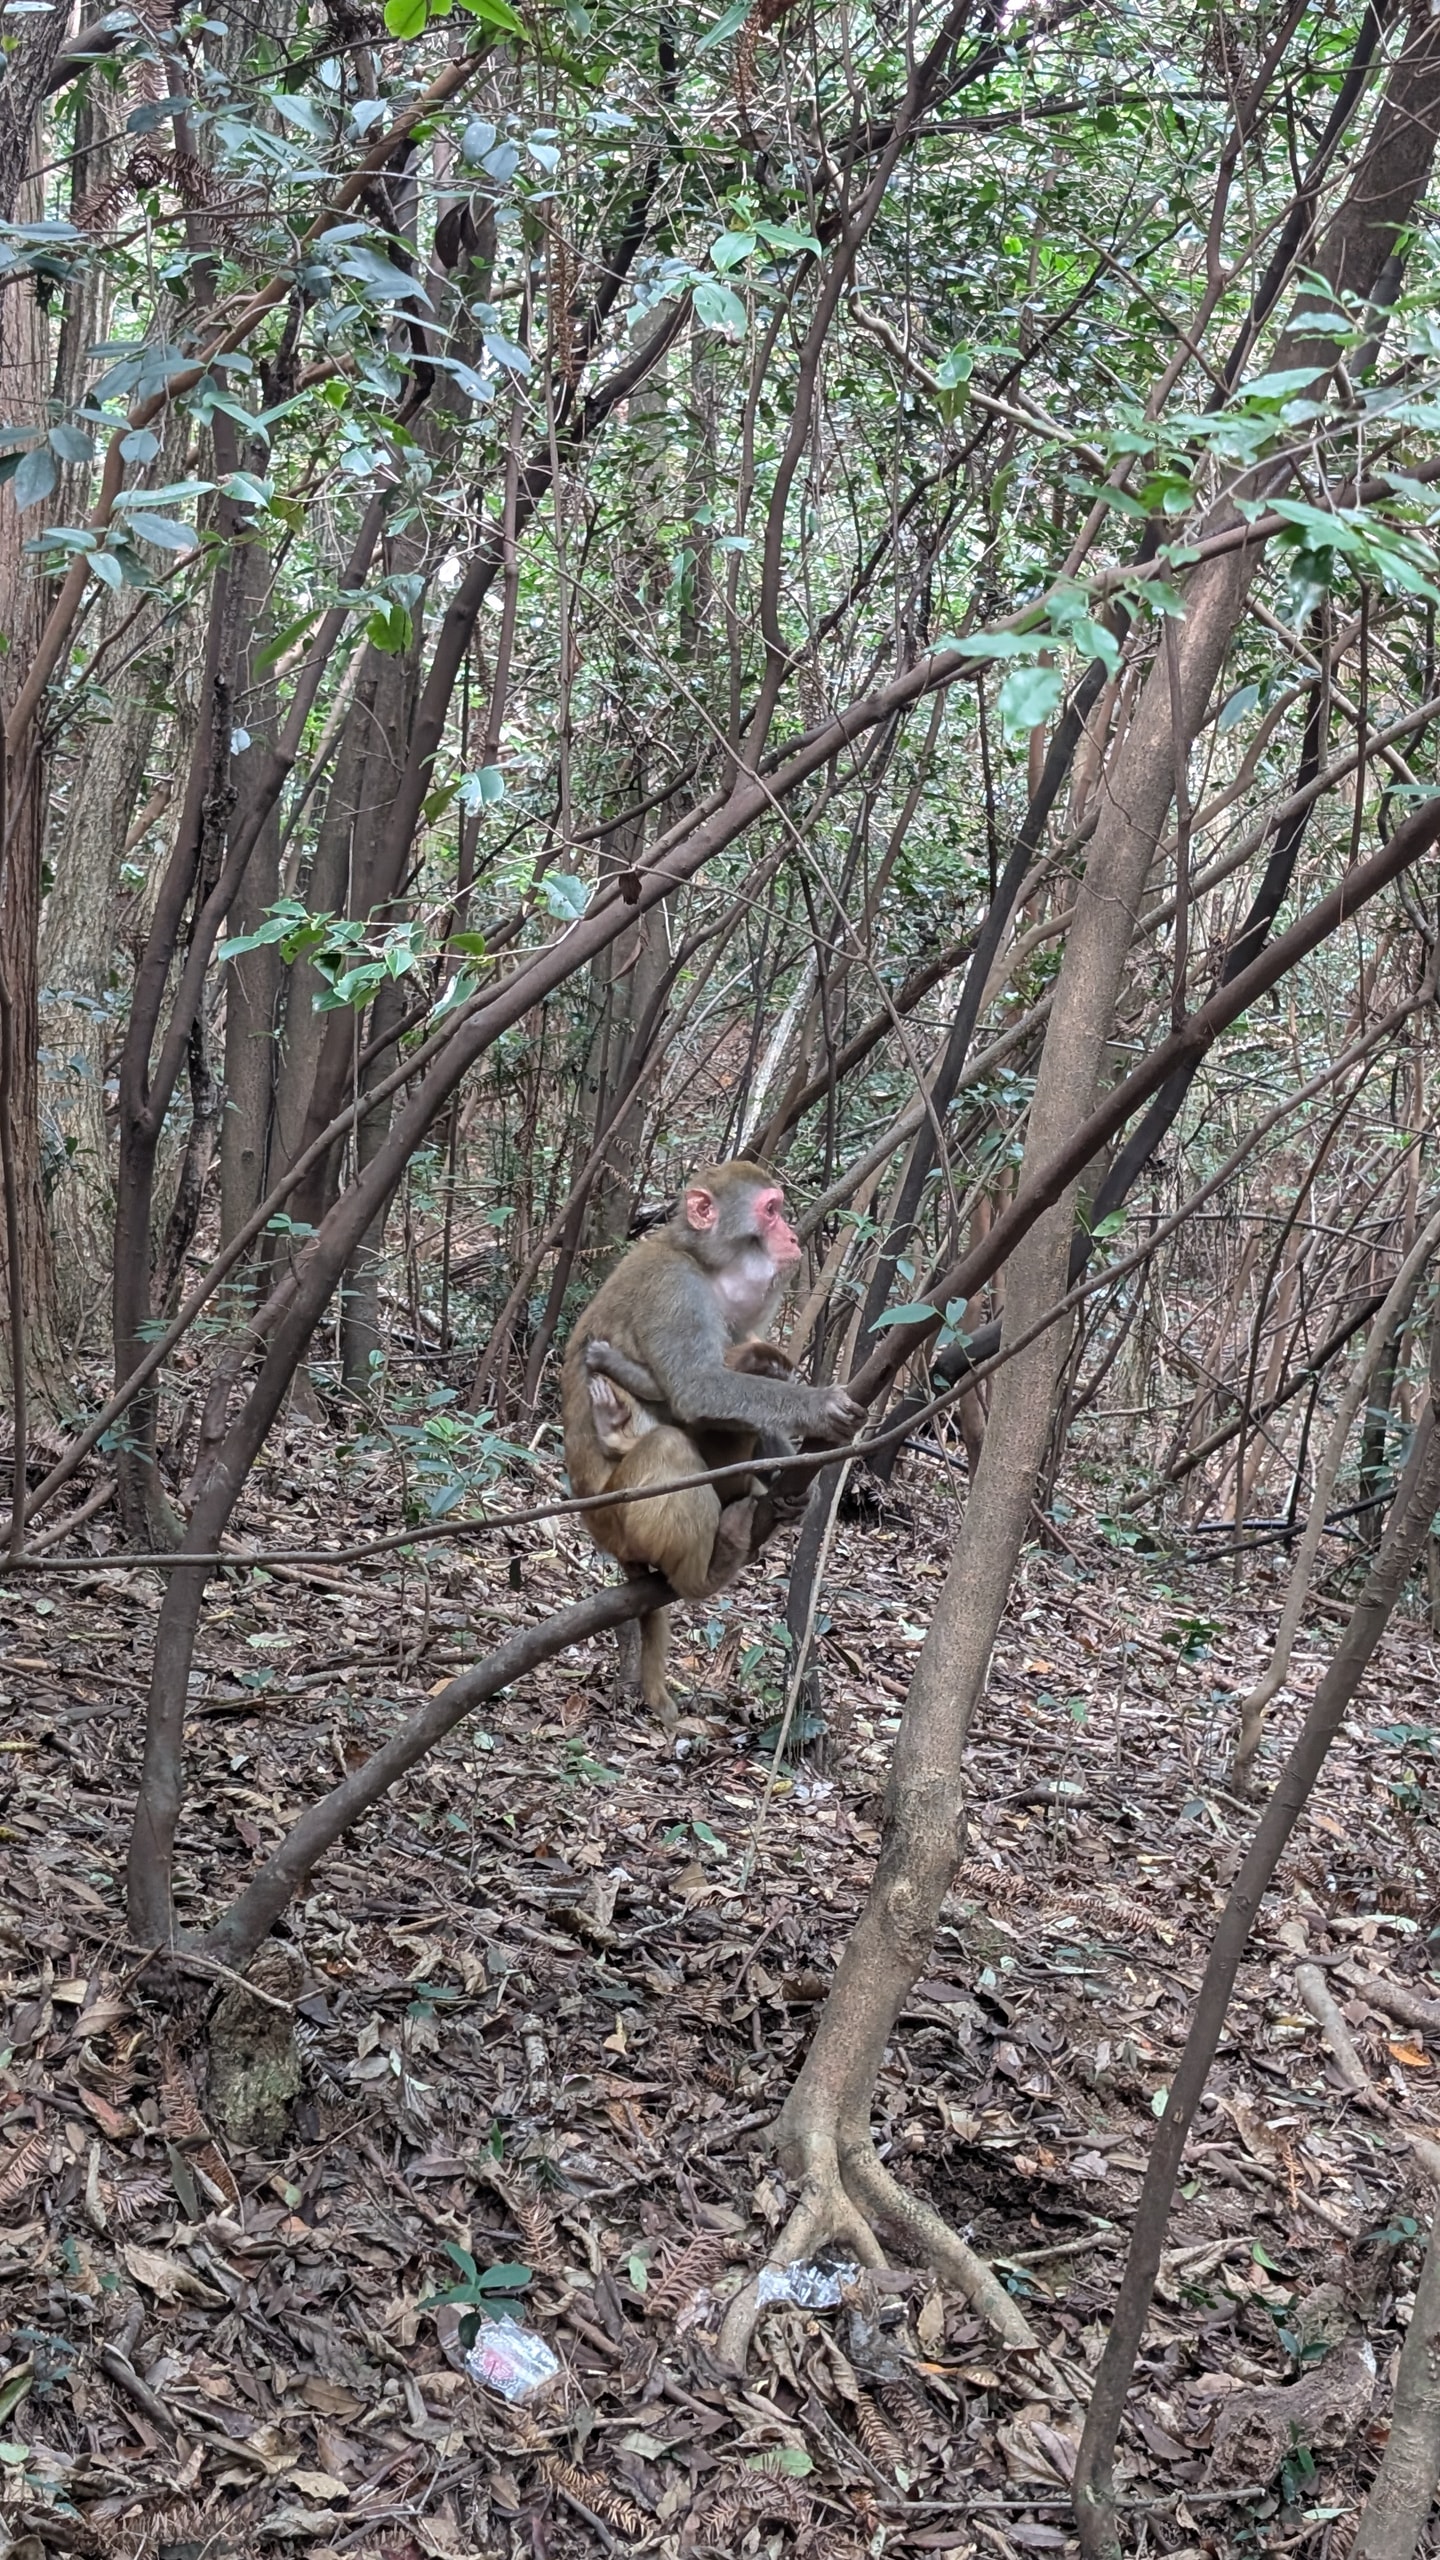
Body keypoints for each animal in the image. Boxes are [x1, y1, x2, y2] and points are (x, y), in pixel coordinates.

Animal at [560, 1160, 862, 1721]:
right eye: (771, 1210)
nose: (793, 1236)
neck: (700, 1260)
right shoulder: (676, 1291)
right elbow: (696, 1390)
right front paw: (821, 1405)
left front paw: (796, 1488)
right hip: (617, 1523)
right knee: (670, 1447)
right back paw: (706, 1572)